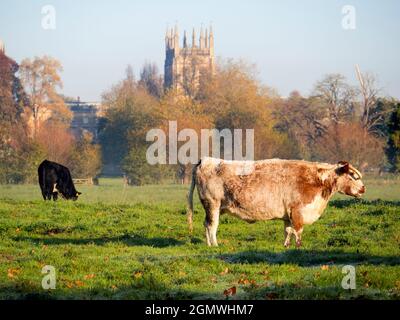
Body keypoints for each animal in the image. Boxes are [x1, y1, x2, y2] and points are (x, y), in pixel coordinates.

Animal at [186, 158, 364, 248]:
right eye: (353, 176)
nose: (363, 189)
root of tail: (205, 160)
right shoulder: (298, 211)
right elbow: (298, 231)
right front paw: (299, 247)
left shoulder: (288, 214)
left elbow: (288, 231)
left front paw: (286, 246)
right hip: (213, 204)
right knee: (212, 225)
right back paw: (215, 245)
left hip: (211, 207)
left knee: (206, 224)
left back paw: (209, 244)